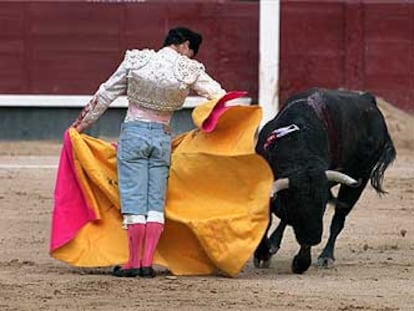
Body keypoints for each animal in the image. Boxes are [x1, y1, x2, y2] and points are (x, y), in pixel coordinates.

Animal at [254, 88, 396, 276]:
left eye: (322, 206)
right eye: (295, 205)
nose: (314, 238)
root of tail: (368, 100)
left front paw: (301, 263)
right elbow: (268, 217)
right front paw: (262, 253)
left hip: (361, 177)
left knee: (338, 220)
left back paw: (326, 256)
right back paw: (274, 244)